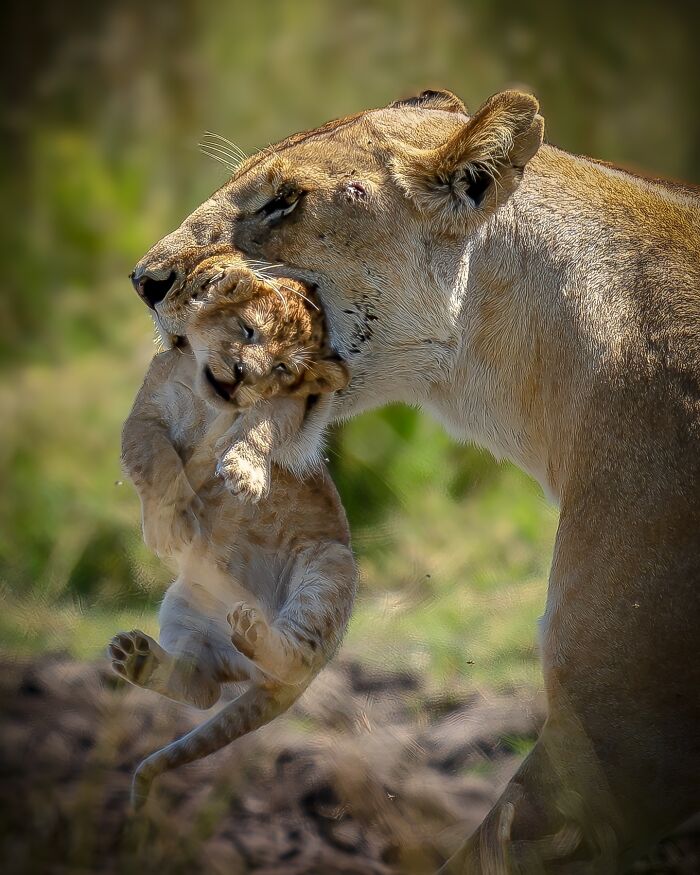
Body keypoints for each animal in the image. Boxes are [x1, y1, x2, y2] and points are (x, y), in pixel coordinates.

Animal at [114, 266, 356, 808]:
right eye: (247, 331)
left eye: (284, 368)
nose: (244, 374)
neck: (209, 402)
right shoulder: (144, 415)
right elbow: (156, 459)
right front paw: (170, 526)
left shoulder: (287, 410)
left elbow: (260, 427)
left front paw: (244, 476)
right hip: (183, 605)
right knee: (203, 688)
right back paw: (138, 660)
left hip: (329, 569)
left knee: (291, 654)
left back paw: (258, 633)